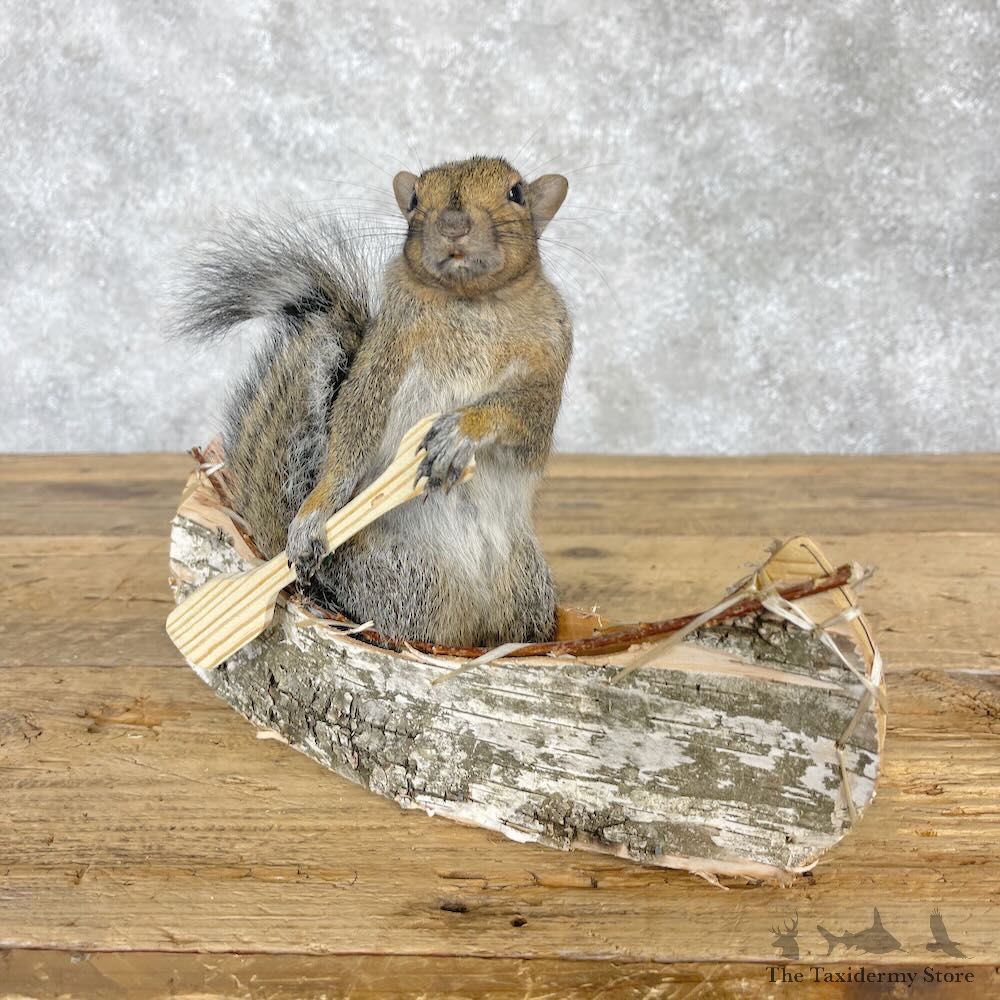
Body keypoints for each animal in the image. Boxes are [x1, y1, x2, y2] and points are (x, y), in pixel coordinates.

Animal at [176, 155, 572, 647]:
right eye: (416, 199)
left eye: (516, 193)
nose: (453, 224)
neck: (470, 301)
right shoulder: (386, 355)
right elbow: (352, 424)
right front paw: (313, 514)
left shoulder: (551, 358)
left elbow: (529, 419)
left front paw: (462, 431)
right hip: (410, 581)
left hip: (526, 591)